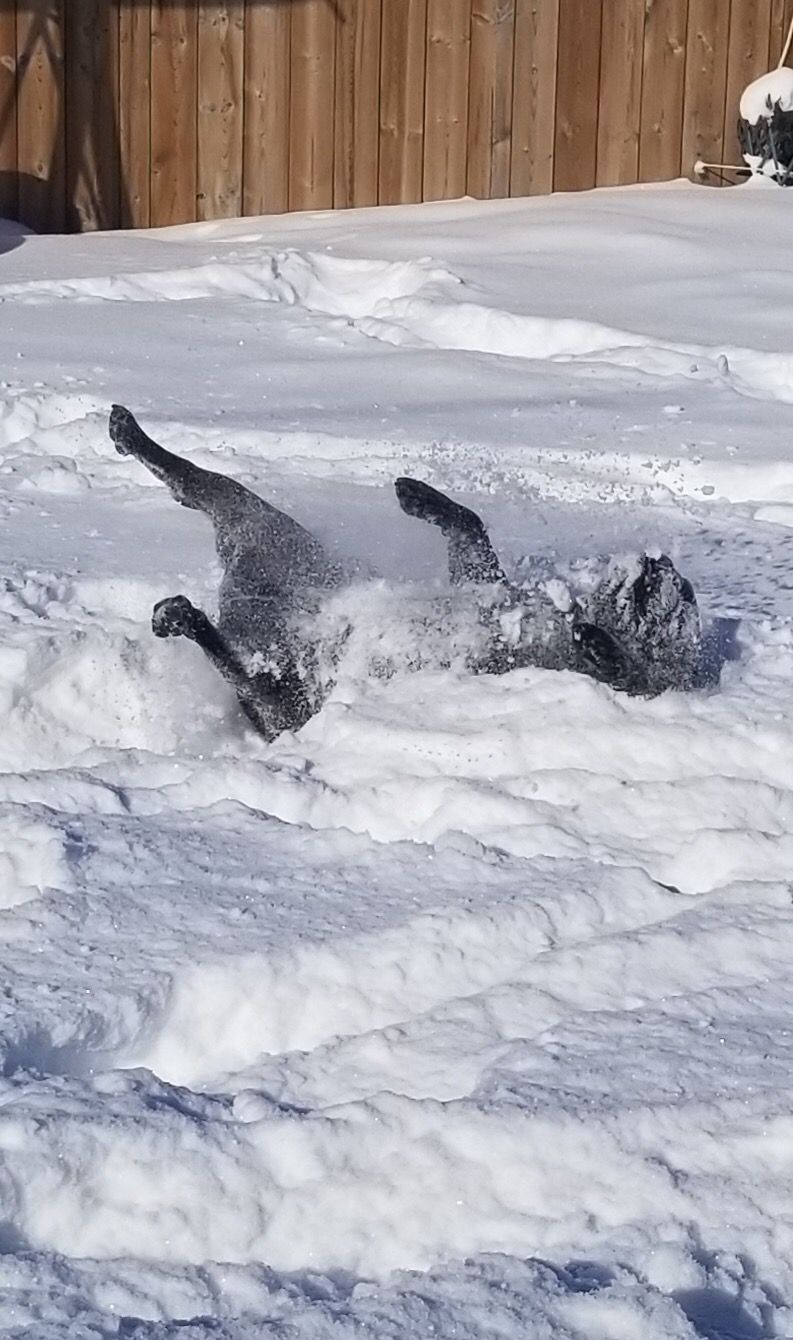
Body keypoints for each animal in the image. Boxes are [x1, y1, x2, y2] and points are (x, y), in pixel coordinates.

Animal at [109, 405, 712, 741]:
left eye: (667, 598)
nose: (661, 564)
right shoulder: (481, 580)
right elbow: (470, 528)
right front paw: (419, 495)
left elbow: (626, 671)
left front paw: (599, 641)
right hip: (268, 533)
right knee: (196, 482)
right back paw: (129, 433)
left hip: (289, 693)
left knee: (238, 662)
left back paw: (180, 615)